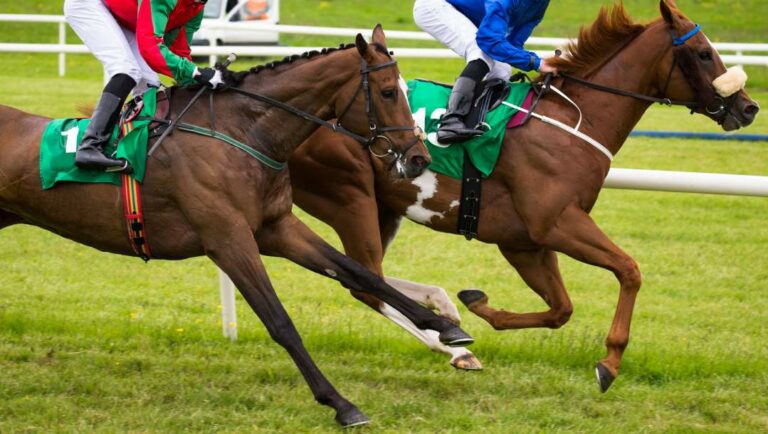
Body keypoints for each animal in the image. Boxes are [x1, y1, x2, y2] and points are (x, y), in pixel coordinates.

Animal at [0, 26, 477, 427]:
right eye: (388, 91)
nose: (419, 159)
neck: (242, 133)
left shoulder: (276, 227)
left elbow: (358, 272)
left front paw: (448, 329)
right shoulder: (228, 239)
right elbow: (281, 322)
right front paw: (341, 404)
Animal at [289, 1, 760, 389]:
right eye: (703, 52)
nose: (749, 107)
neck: (573, 121)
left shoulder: (524, 242)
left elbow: (561, 309)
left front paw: (477, 304)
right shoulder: (556, 224)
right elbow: (629, 270)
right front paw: (609, 363)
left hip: (384, 207)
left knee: (370, 275)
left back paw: (448, 323)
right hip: (349, 196)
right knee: (365, 283)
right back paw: (450, 343)